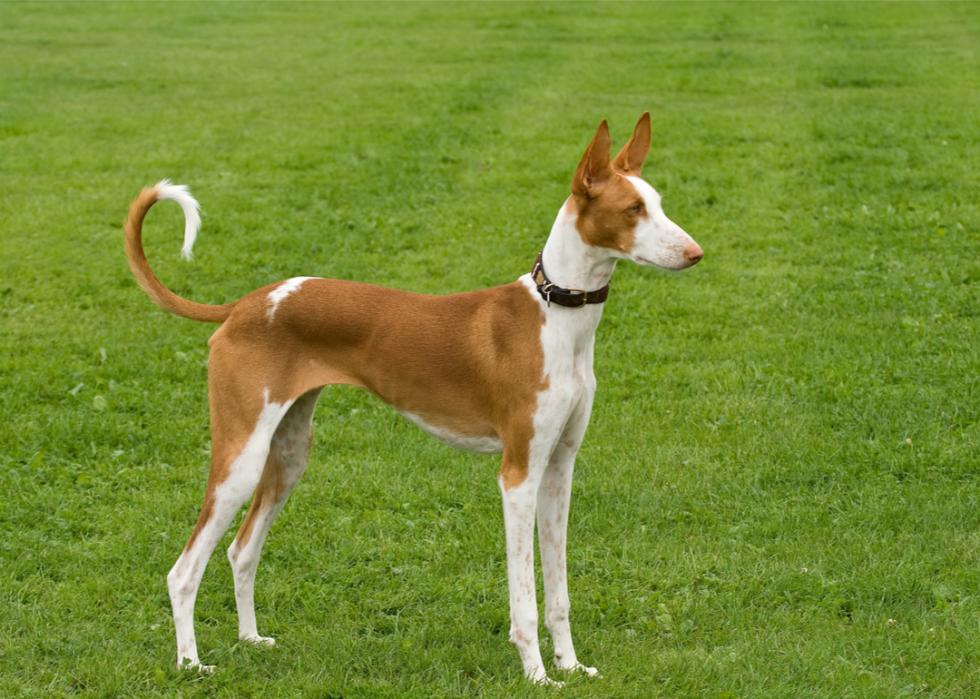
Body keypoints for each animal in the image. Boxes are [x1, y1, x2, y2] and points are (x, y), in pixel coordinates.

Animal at [124, 113, 704, 684]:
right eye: (633, 209)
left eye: (659, 203)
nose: (696, 253)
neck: (556, 315)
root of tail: (244, 304)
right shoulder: (518, 475)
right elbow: (524, 596)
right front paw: (537, 675)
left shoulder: (559, 469)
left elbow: (558, 592)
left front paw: (571, 664)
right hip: (240, 457)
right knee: (183, 570)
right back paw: (190, 662)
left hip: (287, 455)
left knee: (241, 551)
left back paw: (250, 638)